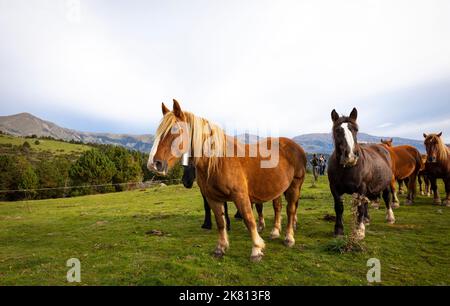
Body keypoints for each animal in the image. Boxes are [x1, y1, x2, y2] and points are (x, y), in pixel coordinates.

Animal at [149, 100, 308, 260]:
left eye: (175, 130)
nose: (154, 164)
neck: (218, 161)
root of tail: (297, 147)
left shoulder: (241, 196)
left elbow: (249, 219)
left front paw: (256, 249)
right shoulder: (213, 198)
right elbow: (220, 222)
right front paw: (221, 247)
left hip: (294, 186)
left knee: (290, 210)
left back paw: (289, 238)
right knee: (278, 208)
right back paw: (275, 232)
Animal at [326, 107, 394, 239]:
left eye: (356, 129)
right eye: (337, 130)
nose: (351, 155)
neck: (347, 168)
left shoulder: (361, 187)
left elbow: (360, 207)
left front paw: (359, 231)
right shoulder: (334, 188)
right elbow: (339, 207)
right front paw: (339, 230)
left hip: (386, 184)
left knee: (386, 197)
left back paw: (390, 217)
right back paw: (366, 219)